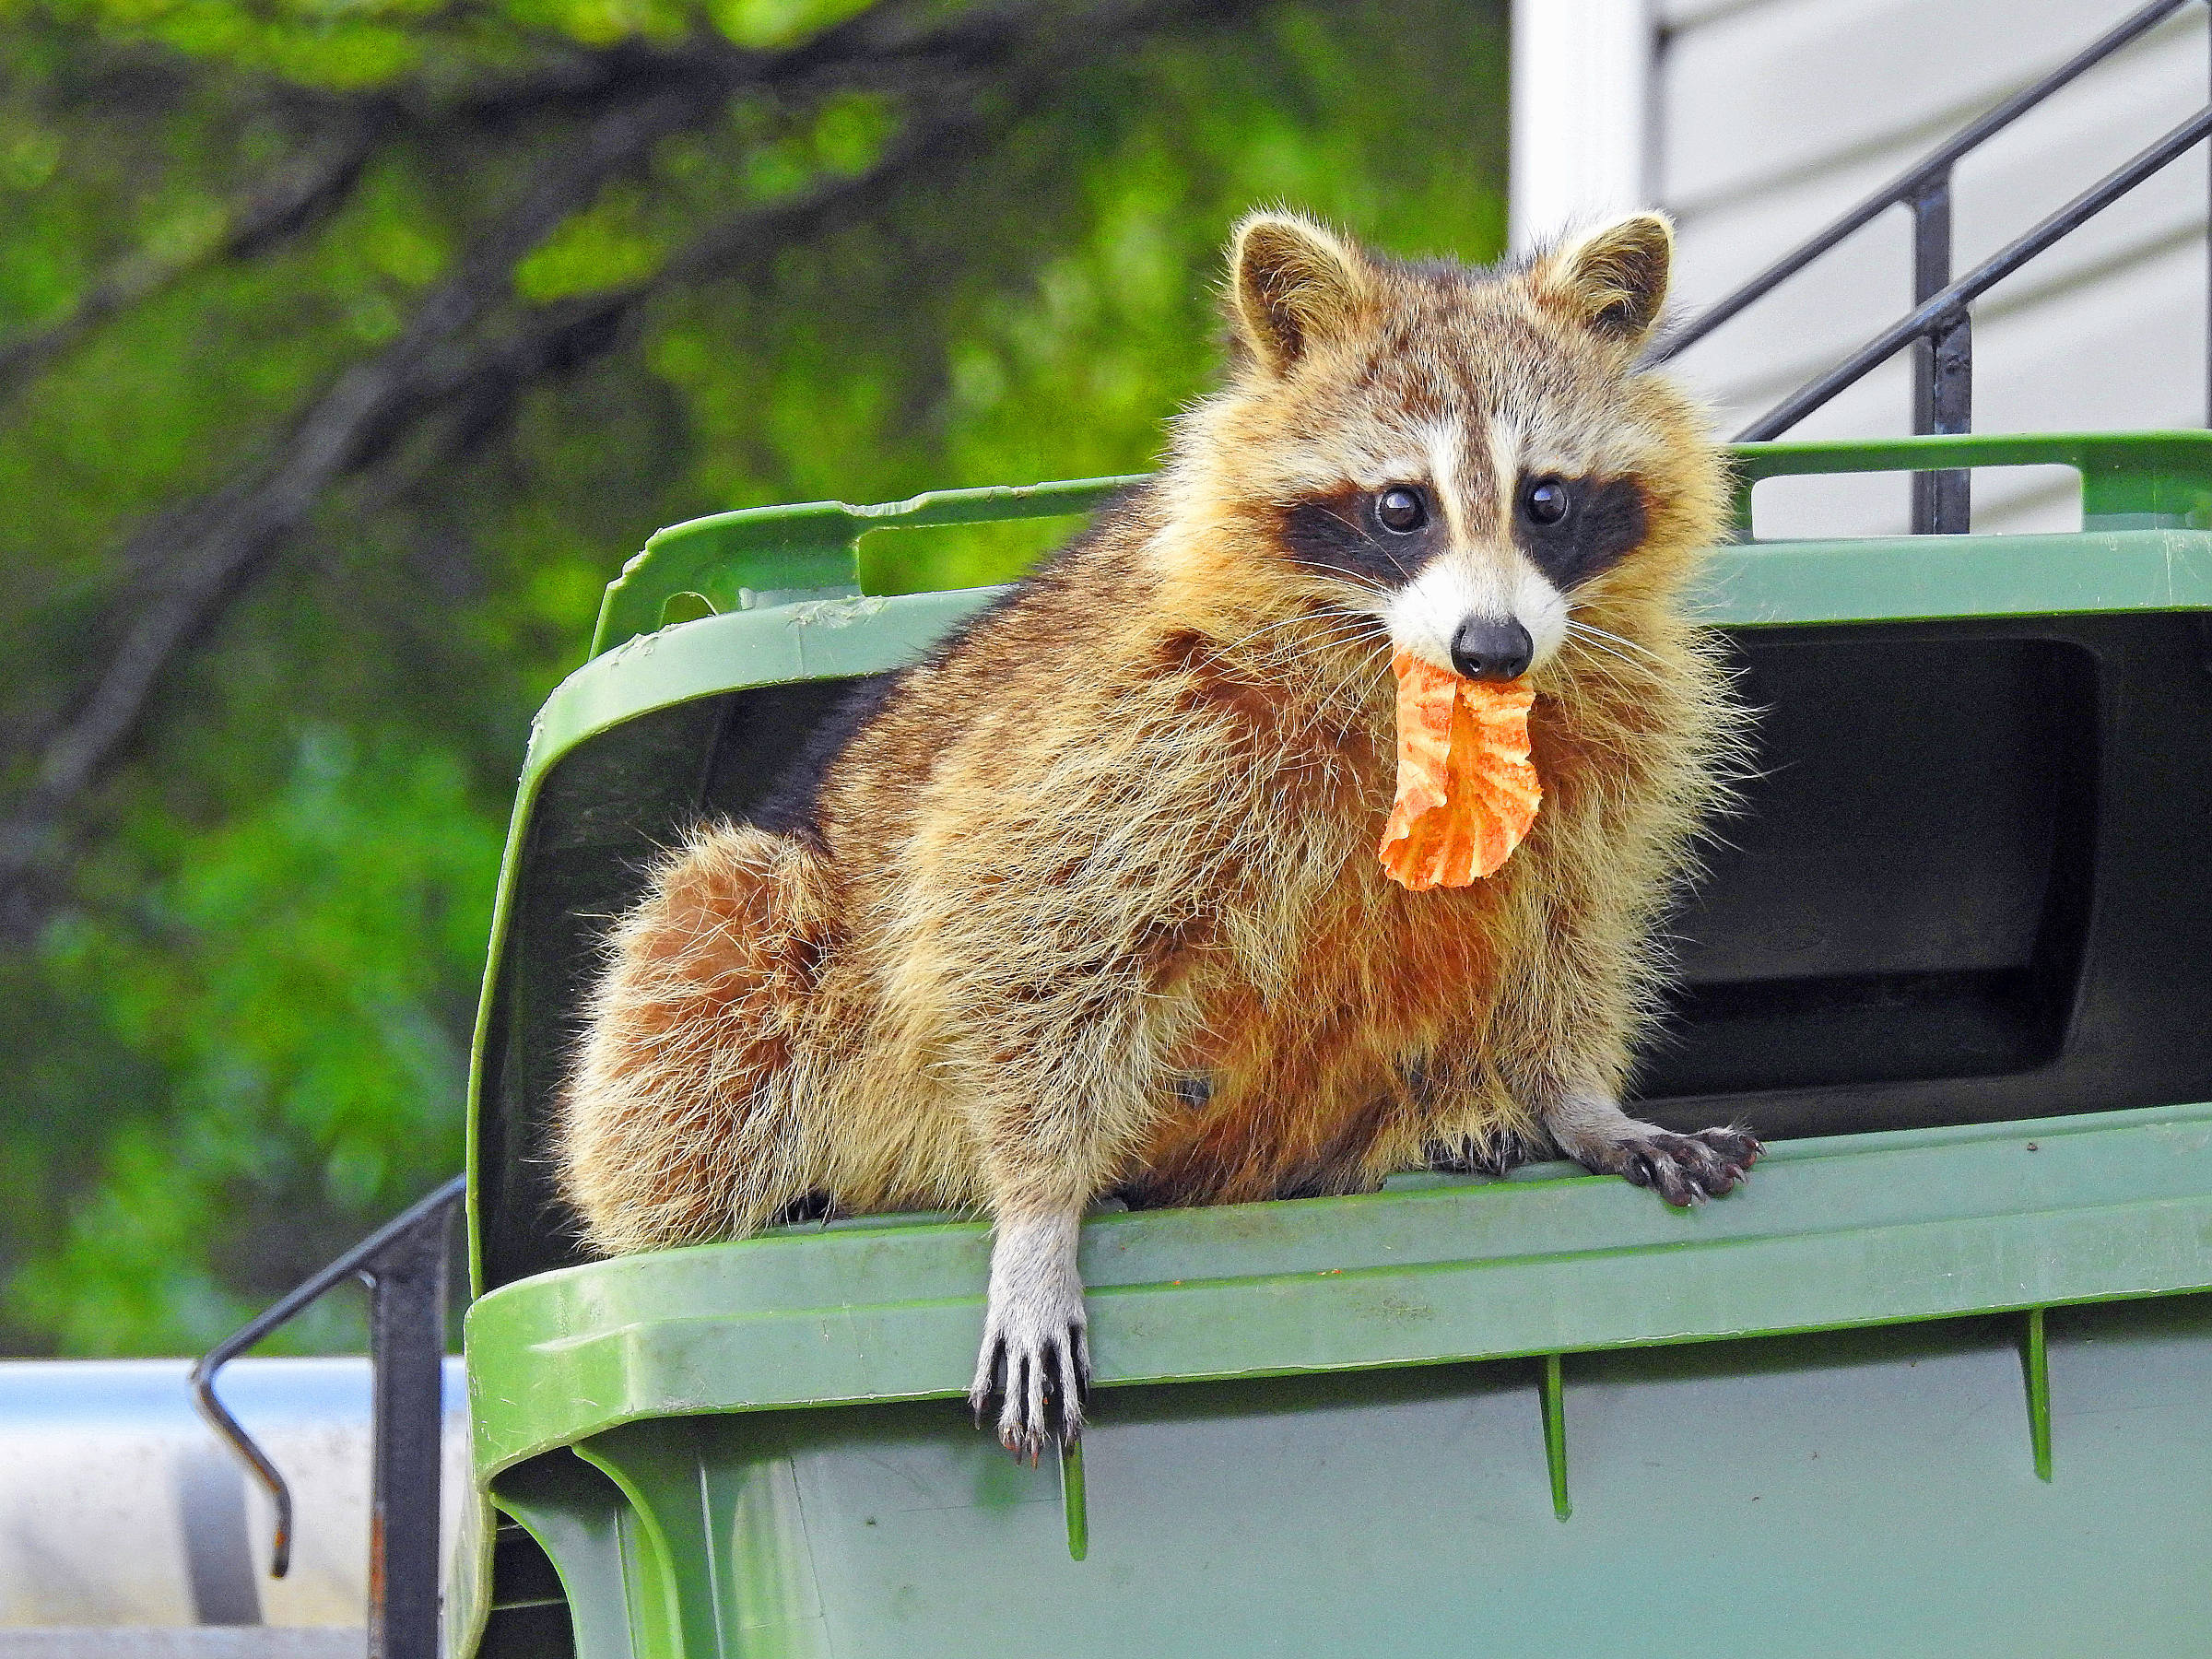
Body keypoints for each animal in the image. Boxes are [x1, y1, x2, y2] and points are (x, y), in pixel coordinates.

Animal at [557, 205, 1760, 1451]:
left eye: (1545, 500)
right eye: (1400, 506)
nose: (1495, 648)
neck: (1425, 688)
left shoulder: (1610, 743)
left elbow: (1566, 925)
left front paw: (1577, 1100)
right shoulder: (1136, 723)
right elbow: (1011, 922)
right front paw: (1036, 1211)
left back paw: (1451, 1120)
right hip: (766, 937)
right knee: (713, 957)